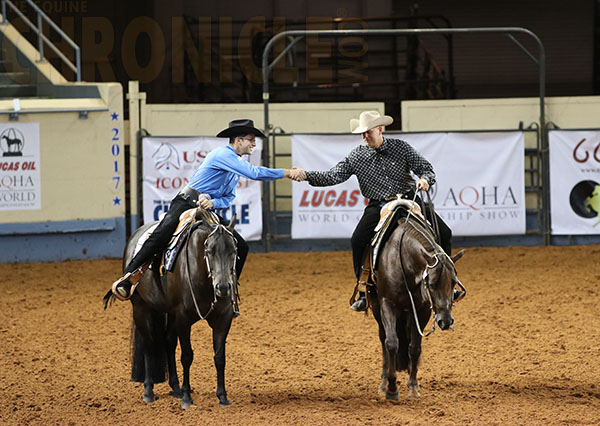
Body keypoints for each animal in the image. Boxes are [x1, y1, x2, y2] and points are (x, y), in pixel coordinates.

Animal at [103, 210, 237, 410]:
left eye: (234, 251)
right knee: (149, 344)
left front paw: (222, 396)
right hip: (141, 307)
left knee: (168, 342)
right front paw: (187, 398)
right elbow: (187, 356)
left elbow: (220, 357)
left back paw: (176, 387)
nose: (223, 287)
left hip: (171, 314)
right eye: (209, 251)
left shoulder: (222, 319)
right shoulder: (184, 319)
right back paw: (149, 391)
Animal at [372, 216, 466, 400]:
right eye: (432, 283)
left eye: (453, 282)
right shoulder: (387, 304)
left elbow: (415, 348)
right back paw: (384, 382)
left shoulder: (422, 310)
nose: (445, 321)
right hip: (376, 307)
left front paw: (413, 386)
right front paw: (392, 389)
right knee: (383, 338)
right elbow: (391, 342)